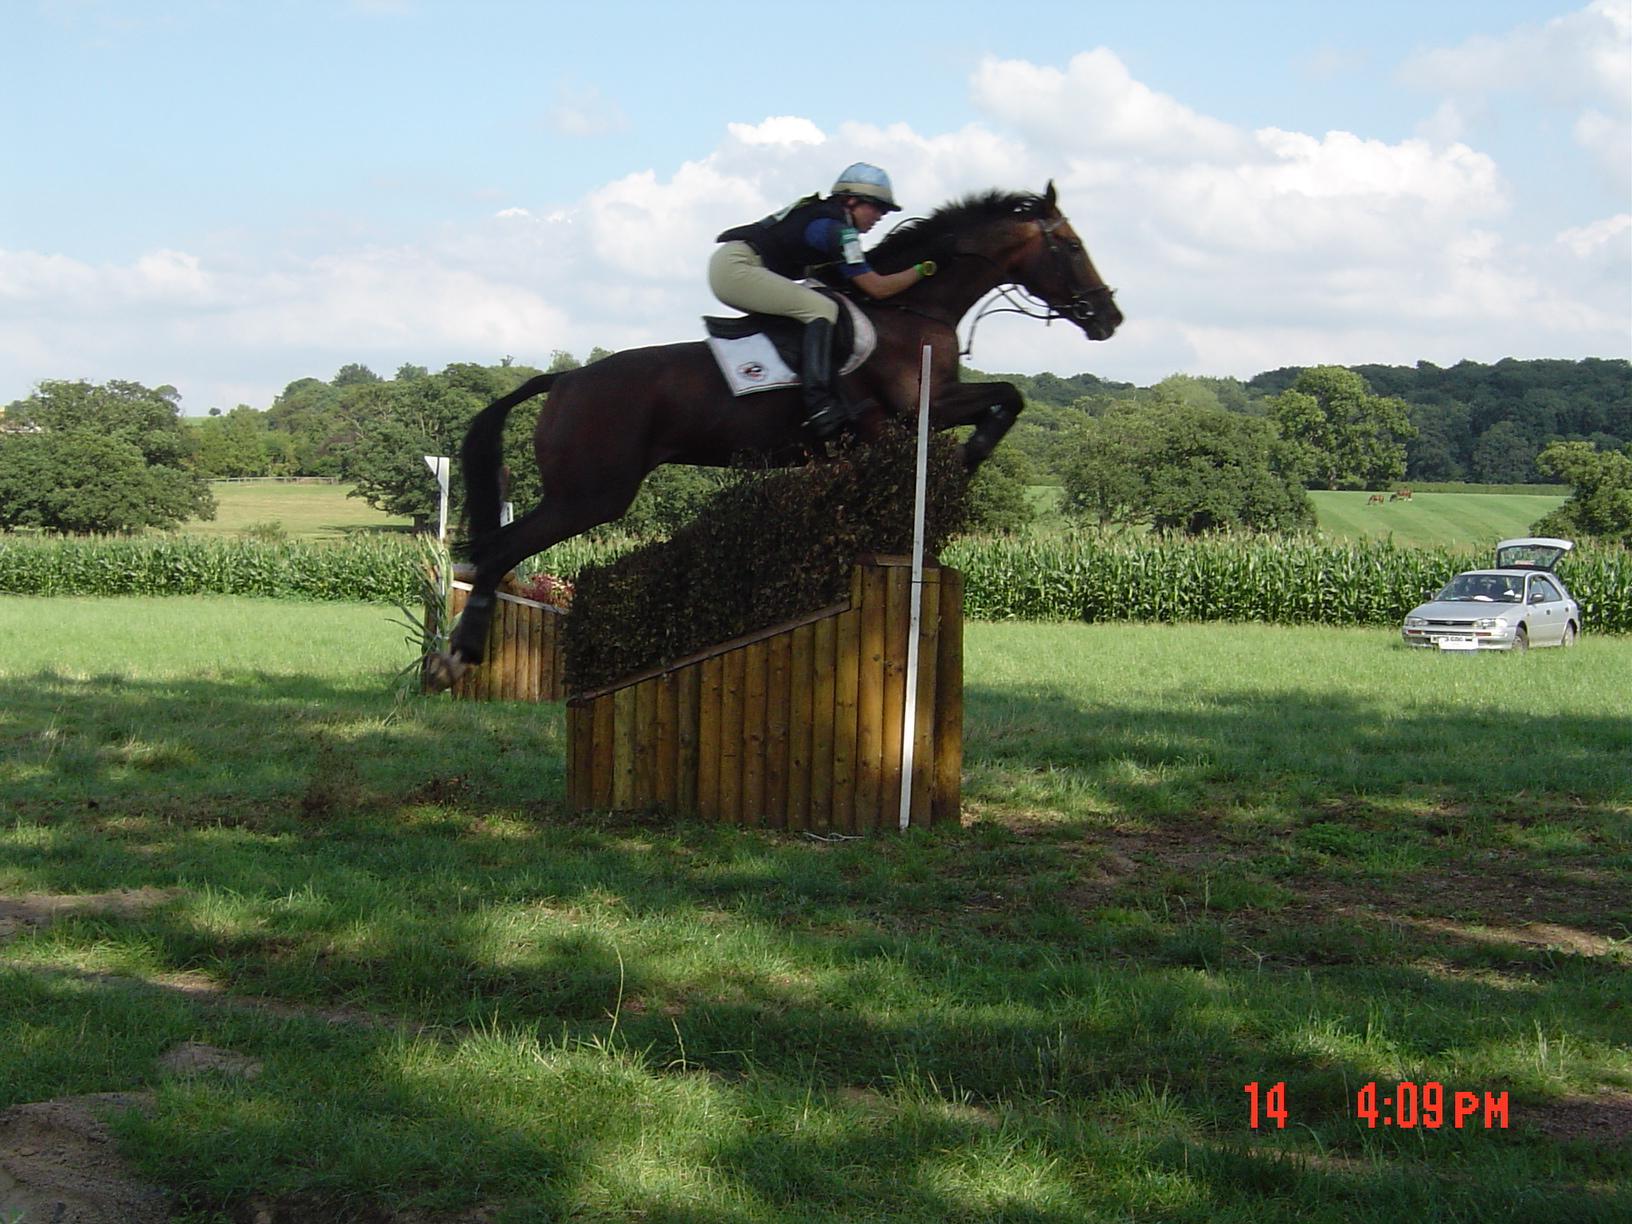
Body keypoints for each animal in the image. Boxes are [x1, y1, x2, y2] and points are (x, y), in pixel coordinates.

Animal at [427, 181, 1122, 691]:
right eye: (1072, 245)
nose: (1109, 317)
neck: (911, 308)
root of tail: (566, 378)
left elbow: (1003, 402)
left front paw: (957, 471)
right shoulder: (912, 410)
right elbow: (1005, 401)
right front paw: (966, 464)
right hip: (591, 495)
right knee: (496, 551)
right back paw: (456, 656)